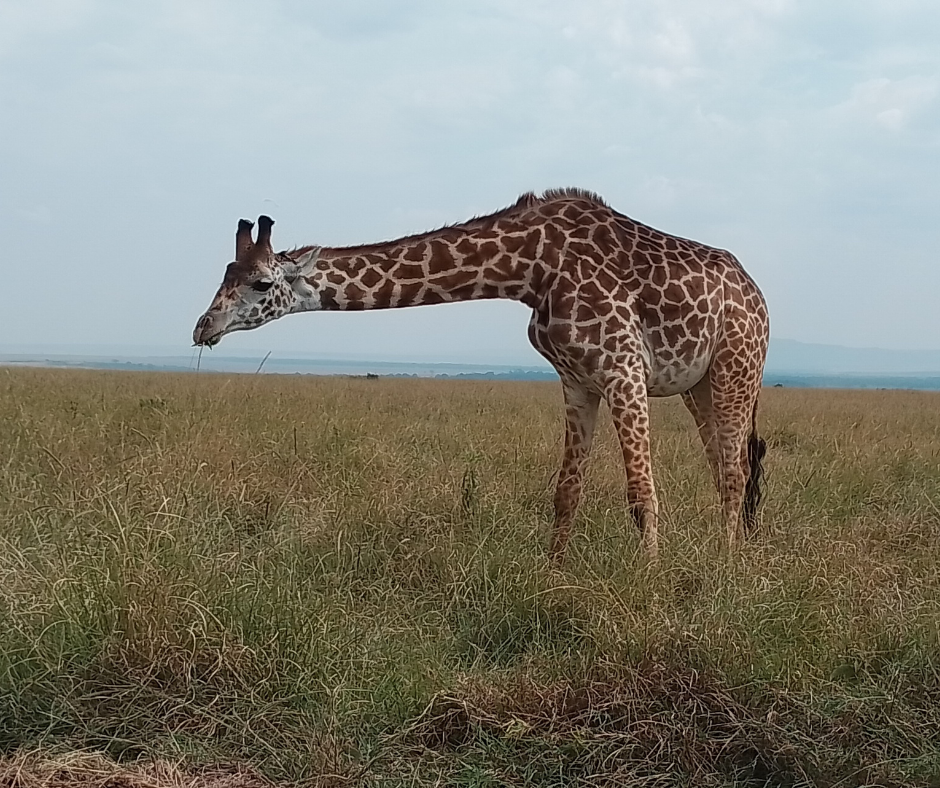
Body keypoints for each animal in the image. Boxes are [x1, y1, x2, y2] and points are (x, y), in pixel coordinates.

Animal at [193, 189, 770, 560]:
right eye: (226, 274)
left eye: (262, 283)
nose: (203, 327)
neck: (531, 268)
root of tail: (756, 293)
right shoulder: (578, 381)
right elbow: (566, 491)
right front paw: (552, 575)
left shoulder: (623, 368)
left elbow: (640, 492)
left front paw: (649, 580)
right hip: (698, 385)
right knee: (726, 467)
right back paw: (728, 554)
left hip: (737, 367)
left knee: (736, 470)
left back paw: (727, 568)